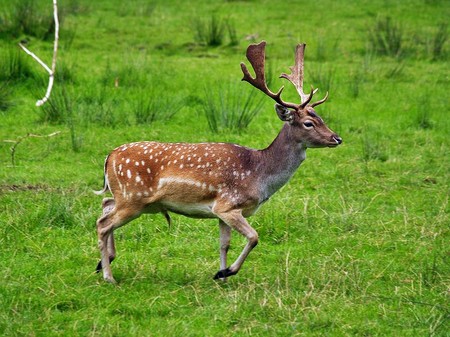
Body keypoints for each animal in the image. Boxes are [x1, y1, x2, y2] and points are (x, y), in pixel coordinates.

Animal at [94, 42, 342, 284]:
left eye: (322, 118)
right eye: (309, 123)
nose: (337, 138)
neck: (259, 175)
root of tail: (109, 157)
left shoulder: (221, 211)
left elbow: (224, 244)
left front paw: (221, 276)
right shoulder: (228, 204)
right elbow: (254, 237)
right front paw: (227, 272)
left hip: (130, 198)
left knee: (105, 204)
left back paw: (103, 262)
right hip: (133, 198)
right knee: (103, 223)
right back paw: (108, 276)